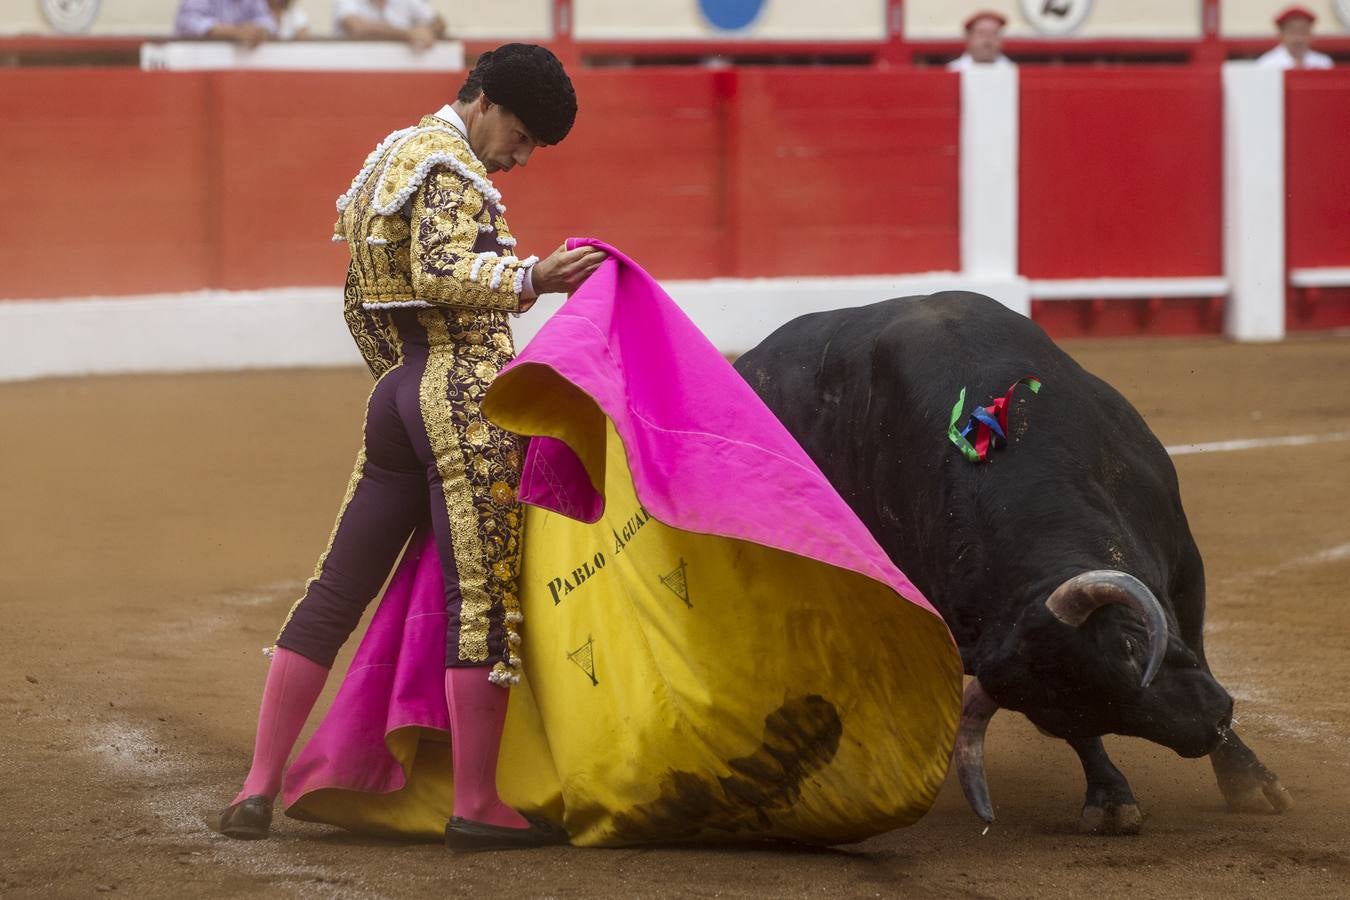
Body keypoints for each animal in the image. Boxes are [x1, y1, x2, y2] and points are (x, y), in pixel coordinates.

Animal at [739, 292, 1296, 836]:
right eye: (1065, 715)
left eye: (1132, 647)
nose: (1207, 727)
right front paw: (1111, 800)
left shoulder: (1184, 565)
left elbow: (1197, 650)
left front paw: (1250, 782)